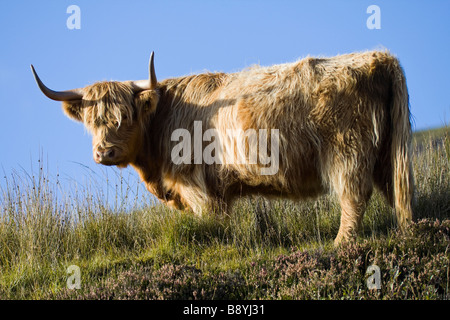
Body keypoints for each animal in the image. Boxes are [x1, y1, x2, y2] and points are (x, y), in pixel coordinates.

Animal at [30, 50, 414, 245]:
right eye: (92, 122)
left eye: (125, 117)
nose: (104, 153)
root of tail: (378, 57)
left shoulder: (196, 184)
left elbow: (211, 223)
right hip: (385, 155)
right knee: (395, 190)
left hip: (347, 152)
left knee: (353, 195)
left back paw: (340, 245)